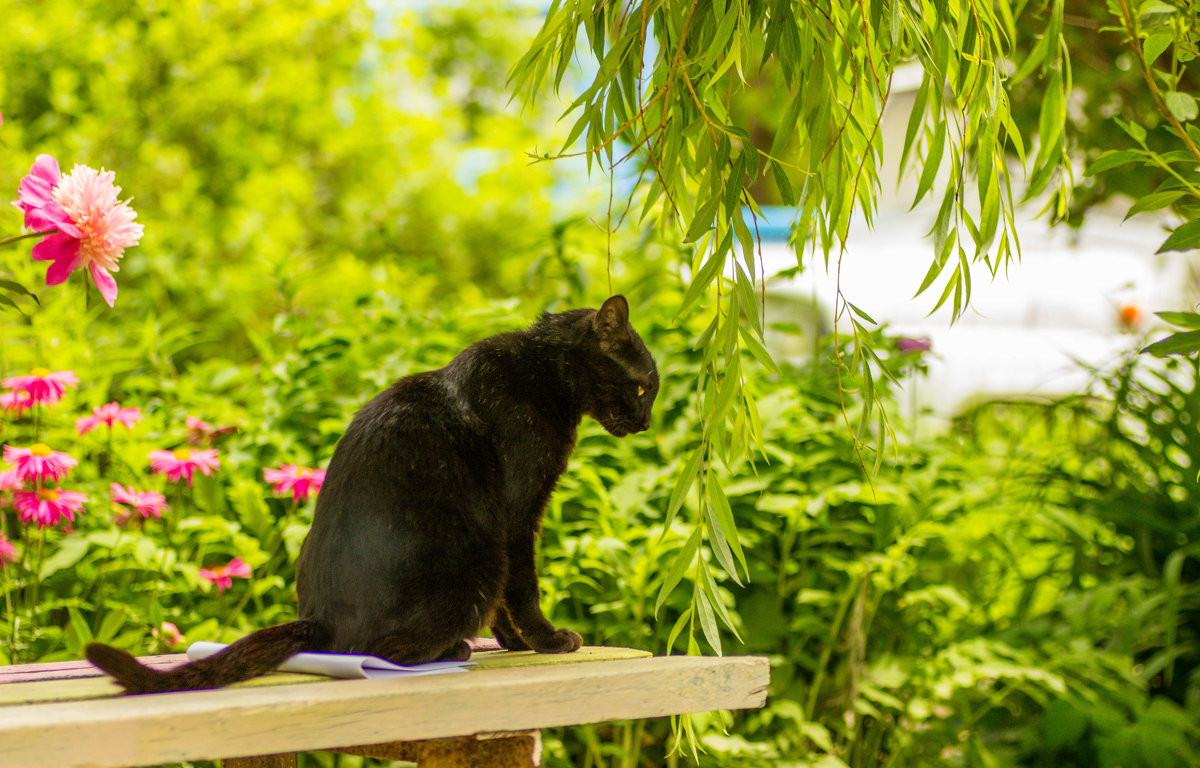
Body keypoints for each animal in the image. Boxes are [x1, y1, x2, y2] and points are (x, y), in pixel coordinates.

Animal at [85, 294, 662, 691]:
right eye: (640, 387)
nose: (646, 422)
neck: (546, 373)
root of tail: (317, 620)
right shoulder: (518, 516)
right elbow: (522, 589)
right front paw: (545, 641)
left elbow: (508, 603)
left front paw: (515, 644)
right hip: (475, 560)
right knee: (385, 649)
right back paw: (454, 648)